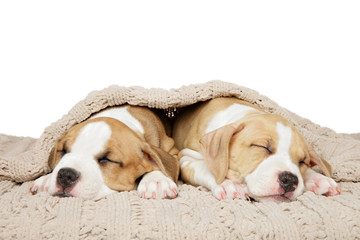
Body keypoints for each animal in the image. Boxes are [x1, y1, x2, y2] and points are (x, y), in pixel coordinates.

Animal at [30, 105, 179, 201]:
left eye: (106, 159)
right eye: (63, 151)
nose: (66, 175)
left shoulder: (173, 150)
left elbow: (161, 161)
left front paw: (157, 181)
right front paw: (46, 178)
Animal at [173, 96, 342, 202]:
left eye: (302, 162)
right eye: (262, 147)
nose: (289, 180)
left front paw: (318, 179)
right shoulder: (186, 157)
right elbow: (206, 168)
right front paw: (228, 185)